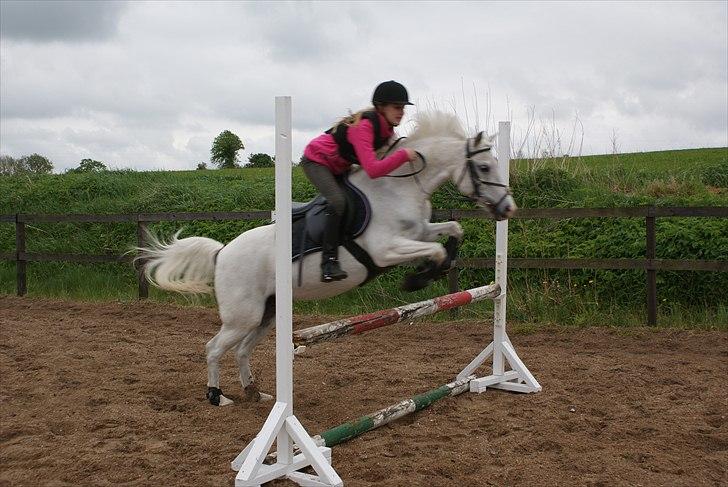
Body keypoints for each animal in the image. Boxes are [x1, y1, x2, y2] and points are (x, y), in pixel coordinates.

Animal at [136, 112, 512, 406]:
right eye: (483, 167)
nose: (508, 208)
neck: (399, 188)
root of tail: (222, 252)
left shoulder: (418, 232)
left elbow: (452, 230)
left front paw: (439, 265)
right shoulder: (385, 249)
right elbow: (434, 251)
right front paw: (416, 279)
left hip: (267, 313)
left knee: (242, 350)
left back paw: (254, 392)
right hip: (243, 315)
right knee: (214, 348)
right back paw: (217, 396)